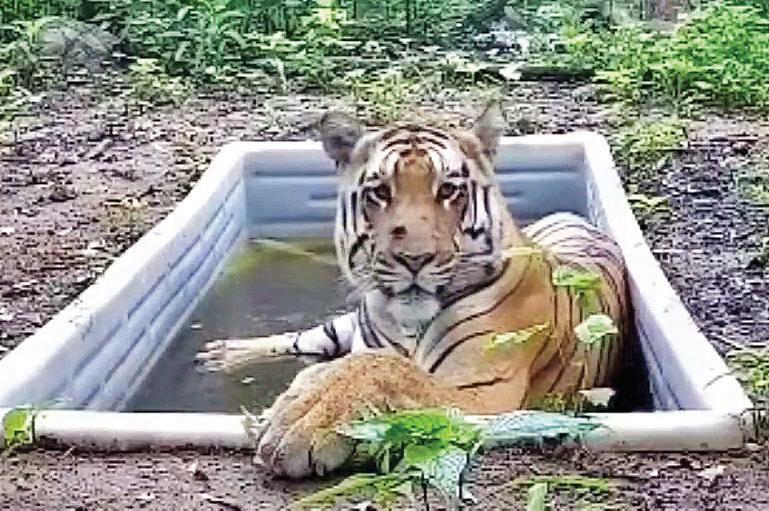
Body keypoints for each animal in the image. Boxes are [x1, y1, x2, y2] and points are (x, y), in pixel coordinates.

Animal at [196, 103, 629, 478]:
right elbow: (354, 362)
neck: (407, 325)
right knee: (305, 338)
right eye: (380, 192)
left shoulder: (486, 398)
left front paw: (303, 418)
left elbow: (384, 367)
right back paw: (223, 354)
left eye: (449, 190)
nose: (415, 258)